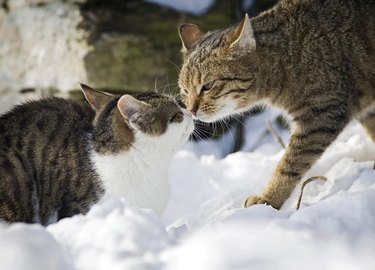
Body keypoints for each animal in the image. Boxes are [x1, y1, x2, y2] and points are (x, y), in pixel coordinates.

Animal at [178, 0, 375, 209]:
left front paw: (269, 199)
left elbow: (290, 164)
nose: (191, 110)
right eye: (185, 90)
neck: (284, 61)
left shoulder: (320, 113)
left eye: (207, 86)